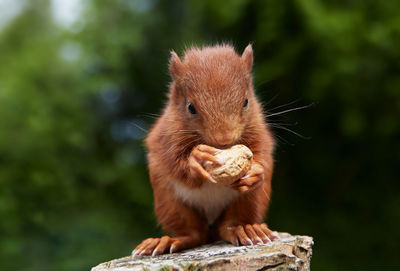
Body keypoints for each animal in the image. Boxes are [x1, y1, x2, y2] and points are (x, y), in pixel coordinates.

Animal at [133, 44, 276, 258]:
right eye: (191, 107)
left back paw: (246, 230)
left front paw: (256, 171)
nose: (223, 140)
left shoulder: (258, 129)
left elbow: (263, 151)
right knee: (193, 233)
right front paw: (196, 158)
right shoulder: (165, 138)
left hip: (251, 199)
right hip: (169, 201)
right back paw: (169, 240)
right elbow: (174, 162)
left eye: (246, 102)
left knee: (230, 225)